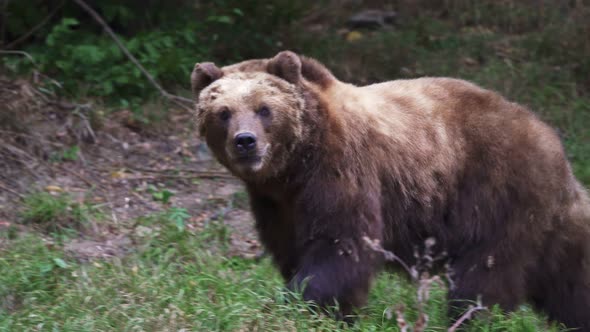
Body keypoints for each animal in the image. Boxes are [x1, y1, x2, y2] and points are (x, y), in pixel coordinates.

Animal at [192, 50, 590, 328]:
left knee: (485, 273)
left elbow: (341, 246)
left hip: (498, 194)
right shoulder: (277, 204)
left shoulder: (342, 172)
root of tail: (554, 146)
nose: (245, 141)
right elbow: (292, 249)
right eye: (223, 111)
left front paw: (299, 304)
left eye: (264, 108)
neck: (294, 167)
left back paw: (467, 319)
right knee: (569, 281)